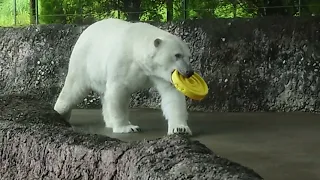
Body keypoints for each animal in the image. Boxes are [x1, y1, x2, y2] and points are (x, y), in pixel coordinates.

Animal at [54, 18, 194, 135]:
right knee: (73, 90)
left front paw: (180, 128)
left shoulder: (159, 74)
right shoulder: (123, 63)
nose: (189, 72)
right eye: (177, 55)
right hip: (83, 62)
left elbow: (172, 94)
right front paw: (127, 127)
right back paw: (59, 114)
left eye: (189, 56)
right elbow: (118, 92)